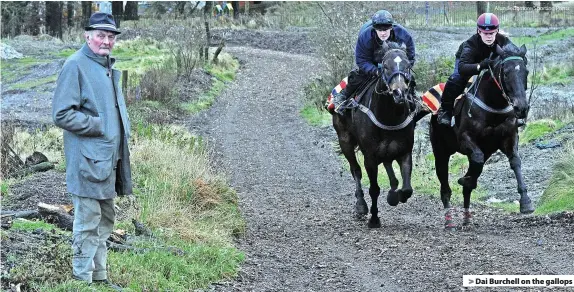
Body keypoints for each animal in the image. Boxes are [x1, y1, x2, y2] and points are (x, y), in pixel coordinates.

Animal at [432, 42, 536, 228]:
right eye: (506, 73)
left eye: (525, 71)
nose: (521, 108)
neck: (494, 105)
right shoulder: (466, 138)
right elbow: (477, 159)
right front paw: (466, 180)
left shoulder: (508, 137)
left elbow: (515, 161)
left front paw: (526, 202)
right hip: (441, 152)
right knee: (445, 186)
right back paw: (449, 219)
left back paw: (466, 216)